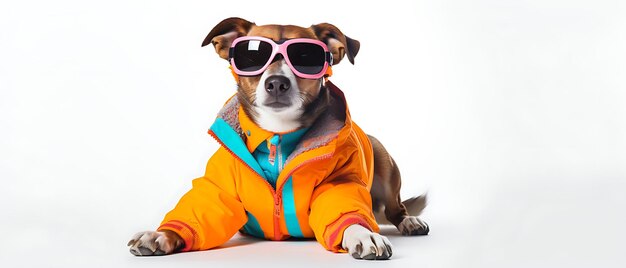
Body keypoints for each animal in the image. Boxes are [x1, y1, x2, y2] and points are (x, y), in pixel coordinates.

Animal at [127, 16, 428, 260]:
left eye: (306, 56)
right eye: (252, 56)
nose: (276, 83)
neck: (278, 137)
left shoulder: (340, 183)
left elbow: (345, 211)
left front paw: (362, 233)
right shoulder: (219, 187)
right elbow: (205, 207)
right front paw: (161, 234)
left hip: (384, 162)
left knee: (396, 208)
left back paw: (410, 221)